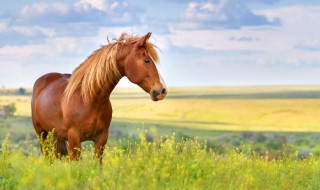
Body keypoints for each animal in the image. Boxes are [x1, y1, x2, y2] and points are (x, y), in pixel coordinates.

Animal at [30, 33, 168, 162]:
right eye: (146, 60)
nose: (162, 90)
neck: (89, 99)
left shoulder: (101, 139)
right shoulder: (74, 139)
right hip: (42, 135)